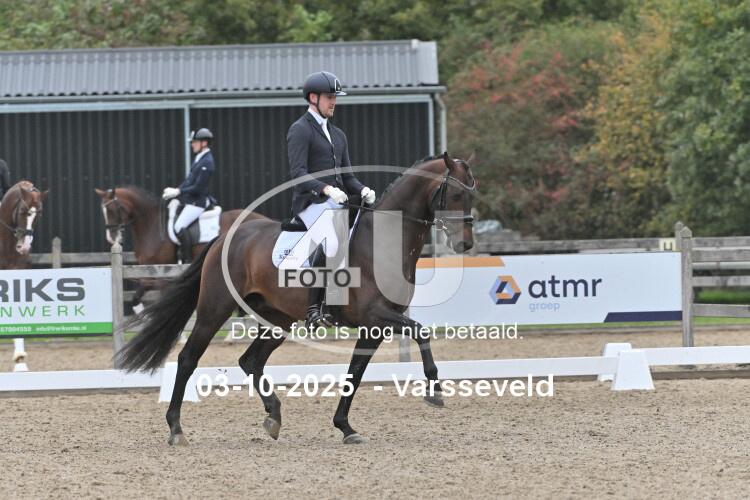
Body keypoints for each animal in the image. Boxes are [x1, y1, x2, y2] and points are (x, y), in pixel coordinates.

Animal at [94, 186, 265, 310]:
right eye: (103, 211)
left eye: (112, 210)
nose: (111, 238)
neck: (151, 226)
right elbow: (137, 299)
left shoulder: (160, 274)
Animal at [116, 152, 476, 446]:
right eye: (456, 194)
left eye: (472, 194)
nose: (466, 245)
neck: (384, 242)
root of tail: (225, 238)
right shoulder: (375, 315)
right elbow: (421, 332)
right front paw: (434, 391)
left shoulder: (375, 326)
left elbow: (355, 373)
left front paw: (345, 427)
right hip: (214, 309)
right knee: (189, 358)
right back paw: (176, 429)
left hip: (277, 319)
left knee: (251, 360)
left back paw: (273, 415)